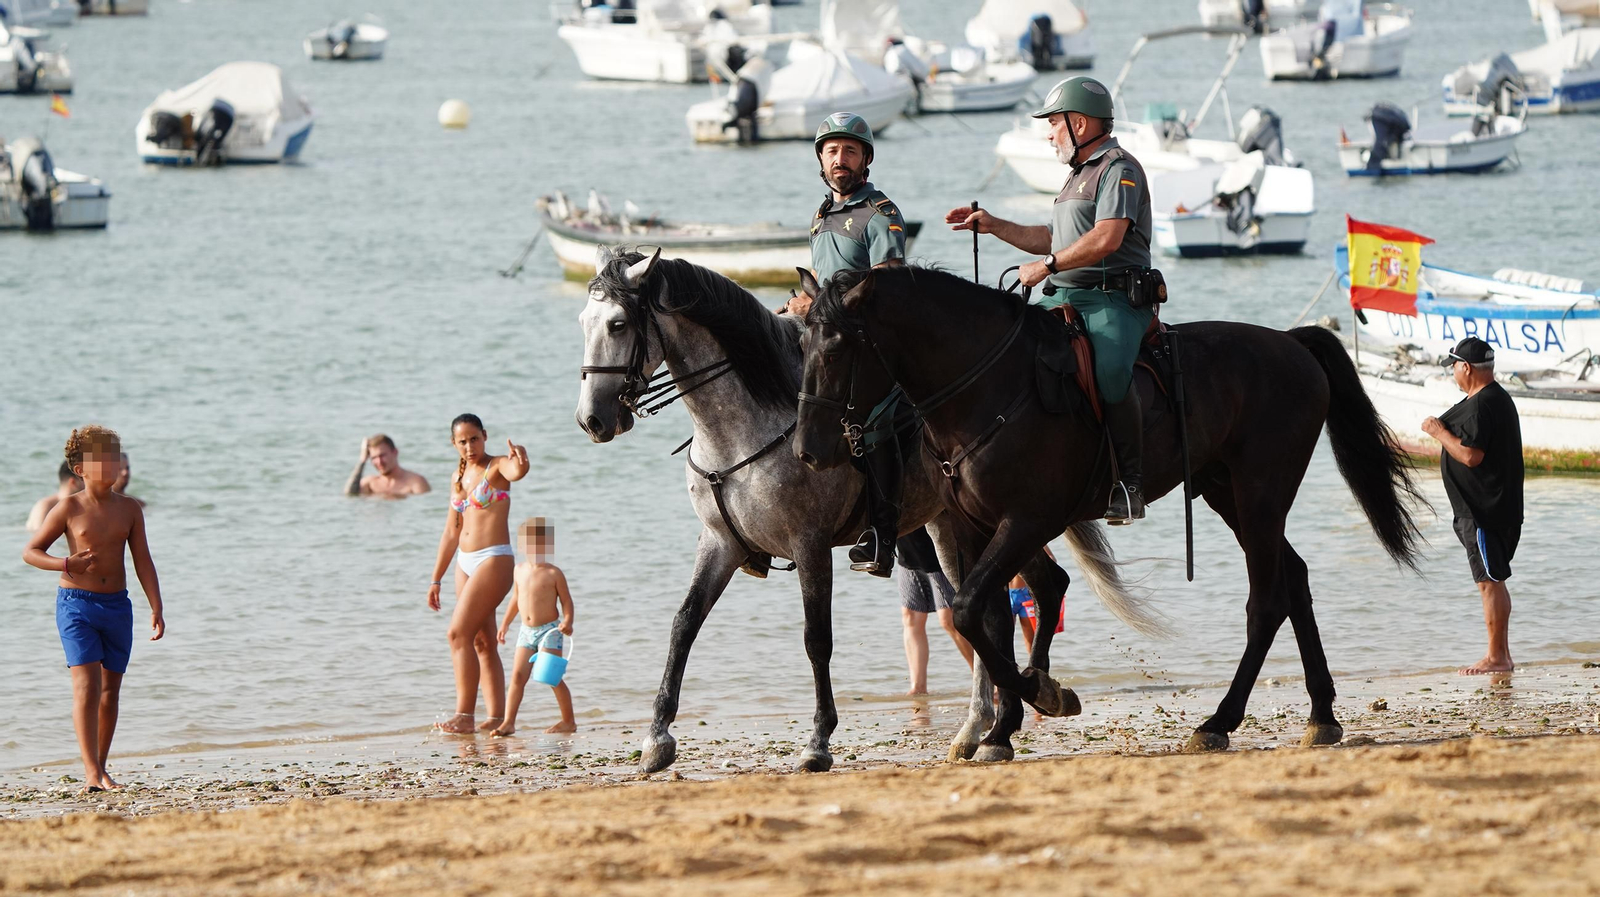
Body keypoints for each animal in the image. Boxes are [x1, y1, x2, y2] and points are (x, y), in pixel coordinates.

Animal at [575, 248, 1162, 769]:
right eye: (584, 321)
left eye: (620, 324)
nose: (592, 421)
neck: (743, 426)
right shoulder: (718, 544)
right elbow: (683, 625)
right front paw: (656, 738)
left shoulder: (810, 546)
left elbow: (816, 640)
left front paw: (817, 742)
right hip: (960, 529)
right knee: (1005, 601)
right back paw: (983, 728)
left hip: (994, 524)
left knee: (1017, 597)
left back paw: (1004, 718)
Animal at [794, 265, 1425, 752]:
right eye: (802, 344)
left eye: (839, 346)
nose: (807, 449)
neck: (986, 387)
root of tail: (1291, 343)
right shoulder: (975, 527)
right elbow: (989, 617)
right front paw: (1002, 729)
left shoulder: (1025, 522)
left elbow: (975, 610)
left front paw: (1043, 694)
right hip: (1229, 494)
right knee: (1293, 579)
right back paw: (1321, 714)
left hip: (1261, 494)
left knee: (1267, 601)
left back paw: (1219, 721)